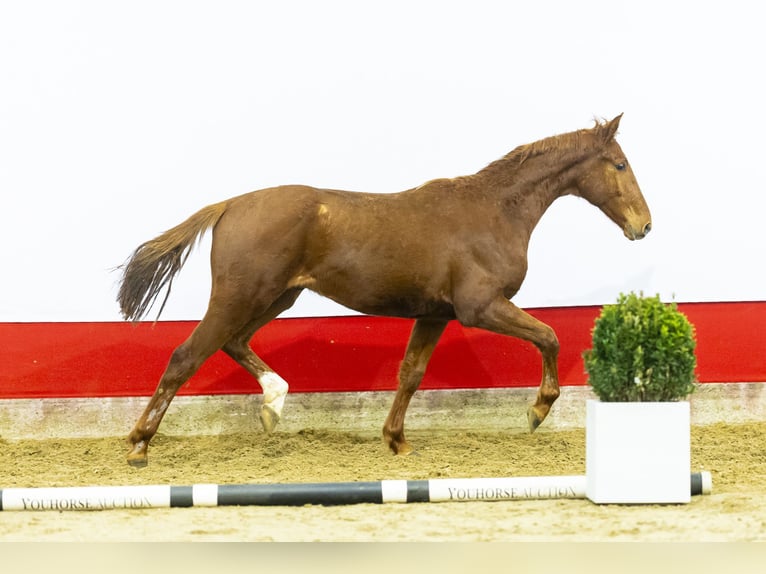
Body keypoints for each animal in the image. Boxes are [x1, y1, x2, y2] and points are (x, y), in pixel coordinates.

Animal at [120, 116, 656, 468]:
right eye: (619, 164)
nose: (644, 226)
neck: (493, 212)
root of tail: (229, 204)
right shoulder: (480, 307)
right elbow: (549, 336)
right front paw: (537, 412)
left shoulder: (435, 314)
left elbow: (411, 374)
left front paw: (397, 441)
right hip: (241, 297)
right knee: (186, 356)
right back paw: (140, 443)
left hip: (277, 298)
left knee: (232, 343)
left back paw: (273, 404)